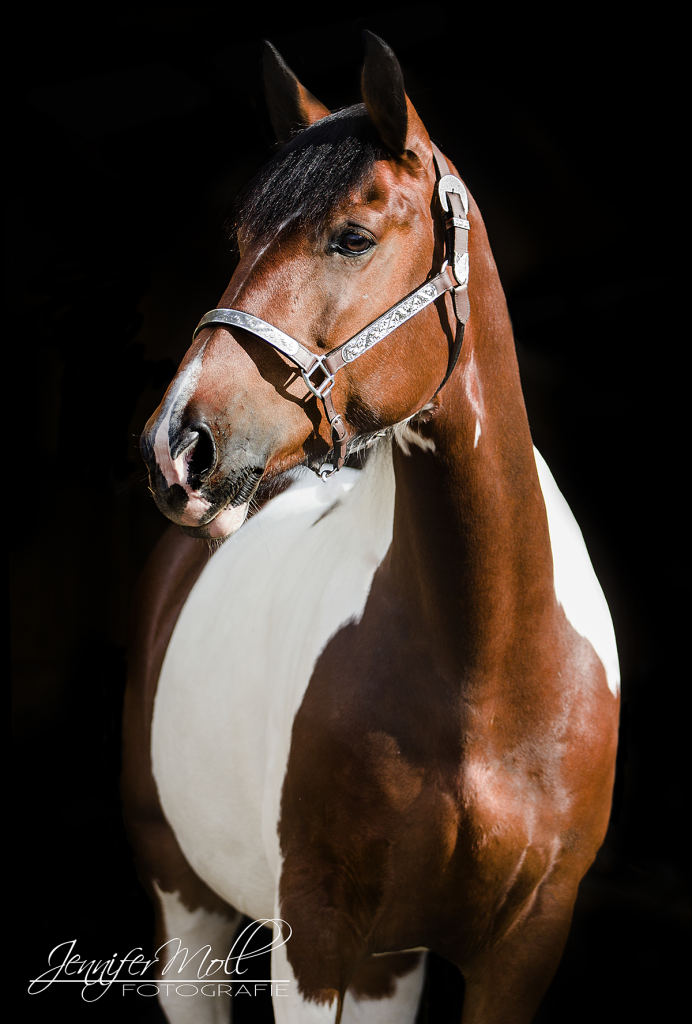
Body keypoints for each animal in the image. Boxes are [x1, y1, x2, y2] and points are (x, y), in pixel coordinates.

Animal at [124, 34, 622, 1024]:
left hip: (389, 965)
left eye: (352, 237)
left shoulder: (522, 948)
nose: (177, 446)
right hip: (188, 912)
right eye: (238, 244)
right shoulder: (313, 938)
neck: (488, 666)